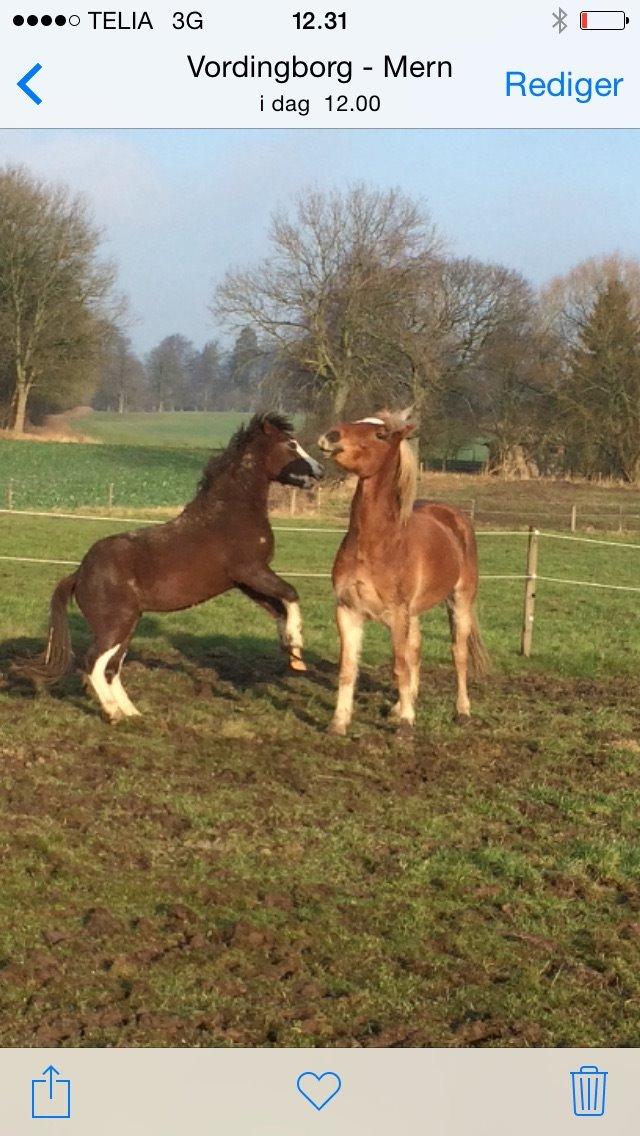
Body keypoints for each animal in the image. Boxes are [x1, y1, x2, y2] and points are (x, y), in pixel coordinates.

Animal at [20, 415, 322, 717]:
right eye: (290, 445)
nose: (320, 472)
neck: (230, 514)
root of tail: (79, 574)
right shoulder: (252, 571)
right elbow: (291, 594)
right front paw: (296, 641)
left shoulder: (245, 582)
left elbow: (279, 607)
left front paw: (292, 651)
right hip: (116, 626)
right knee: (94, 662)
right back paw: (114, 713)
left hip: (128, 625)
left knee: (112, 668)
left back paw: (133, 714)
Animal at [318, 408, 488, 736]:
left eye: (380, 434)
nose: (331, 436)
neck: (377, 543)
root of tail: (453, 516)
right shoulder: (347, 610)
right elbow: (349, 668)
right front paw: (338, 722)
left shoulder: (397, 614)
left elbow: (399, 666)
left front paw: (407, 724)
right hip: (415, 613)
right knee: (416, 652)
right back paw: (400, 706)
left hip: (459, 602)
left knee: (457, 654)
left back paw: (462, 711)